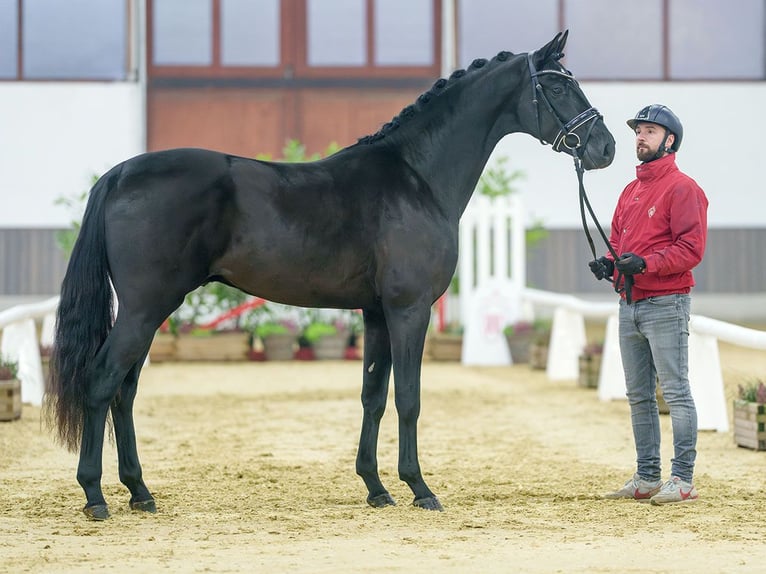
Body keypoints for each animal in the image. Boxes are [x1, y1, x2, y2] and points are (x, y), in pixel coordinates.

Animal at [43, 32, 616, 520]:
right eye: (558, 85)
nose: (606, 147)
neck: (416, 177)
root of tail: (120, 174)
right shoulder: (409, 310)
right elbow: (409, 397)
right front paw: (420, 488)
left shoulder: (377, 313)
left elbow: (373, 396)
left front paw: (377, 488)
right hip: (146, 307)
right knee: (102, 381)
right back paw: (96, 496)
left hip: (150, 310)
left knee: (125, 390)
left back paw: (140, 492)